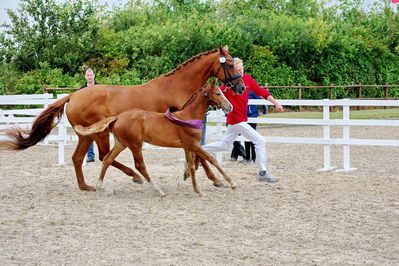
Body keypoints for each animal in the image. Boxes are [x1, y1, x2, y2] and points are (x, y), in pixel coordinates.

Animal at [74, 80, 236, 196]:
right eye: (218, 93)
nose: (230, 107)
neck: (187, 117)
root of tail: (118, 117)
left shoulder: (188, 147)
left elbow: (191, 166)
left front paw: (198, 190)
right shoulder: (193, 145)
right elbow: (211, 158)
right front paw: (230, 182)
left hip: (121, 144)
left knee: (107, 159)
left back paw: (101, 187)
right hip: (135, 145)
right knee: (140, 165)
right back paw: (158, 189)